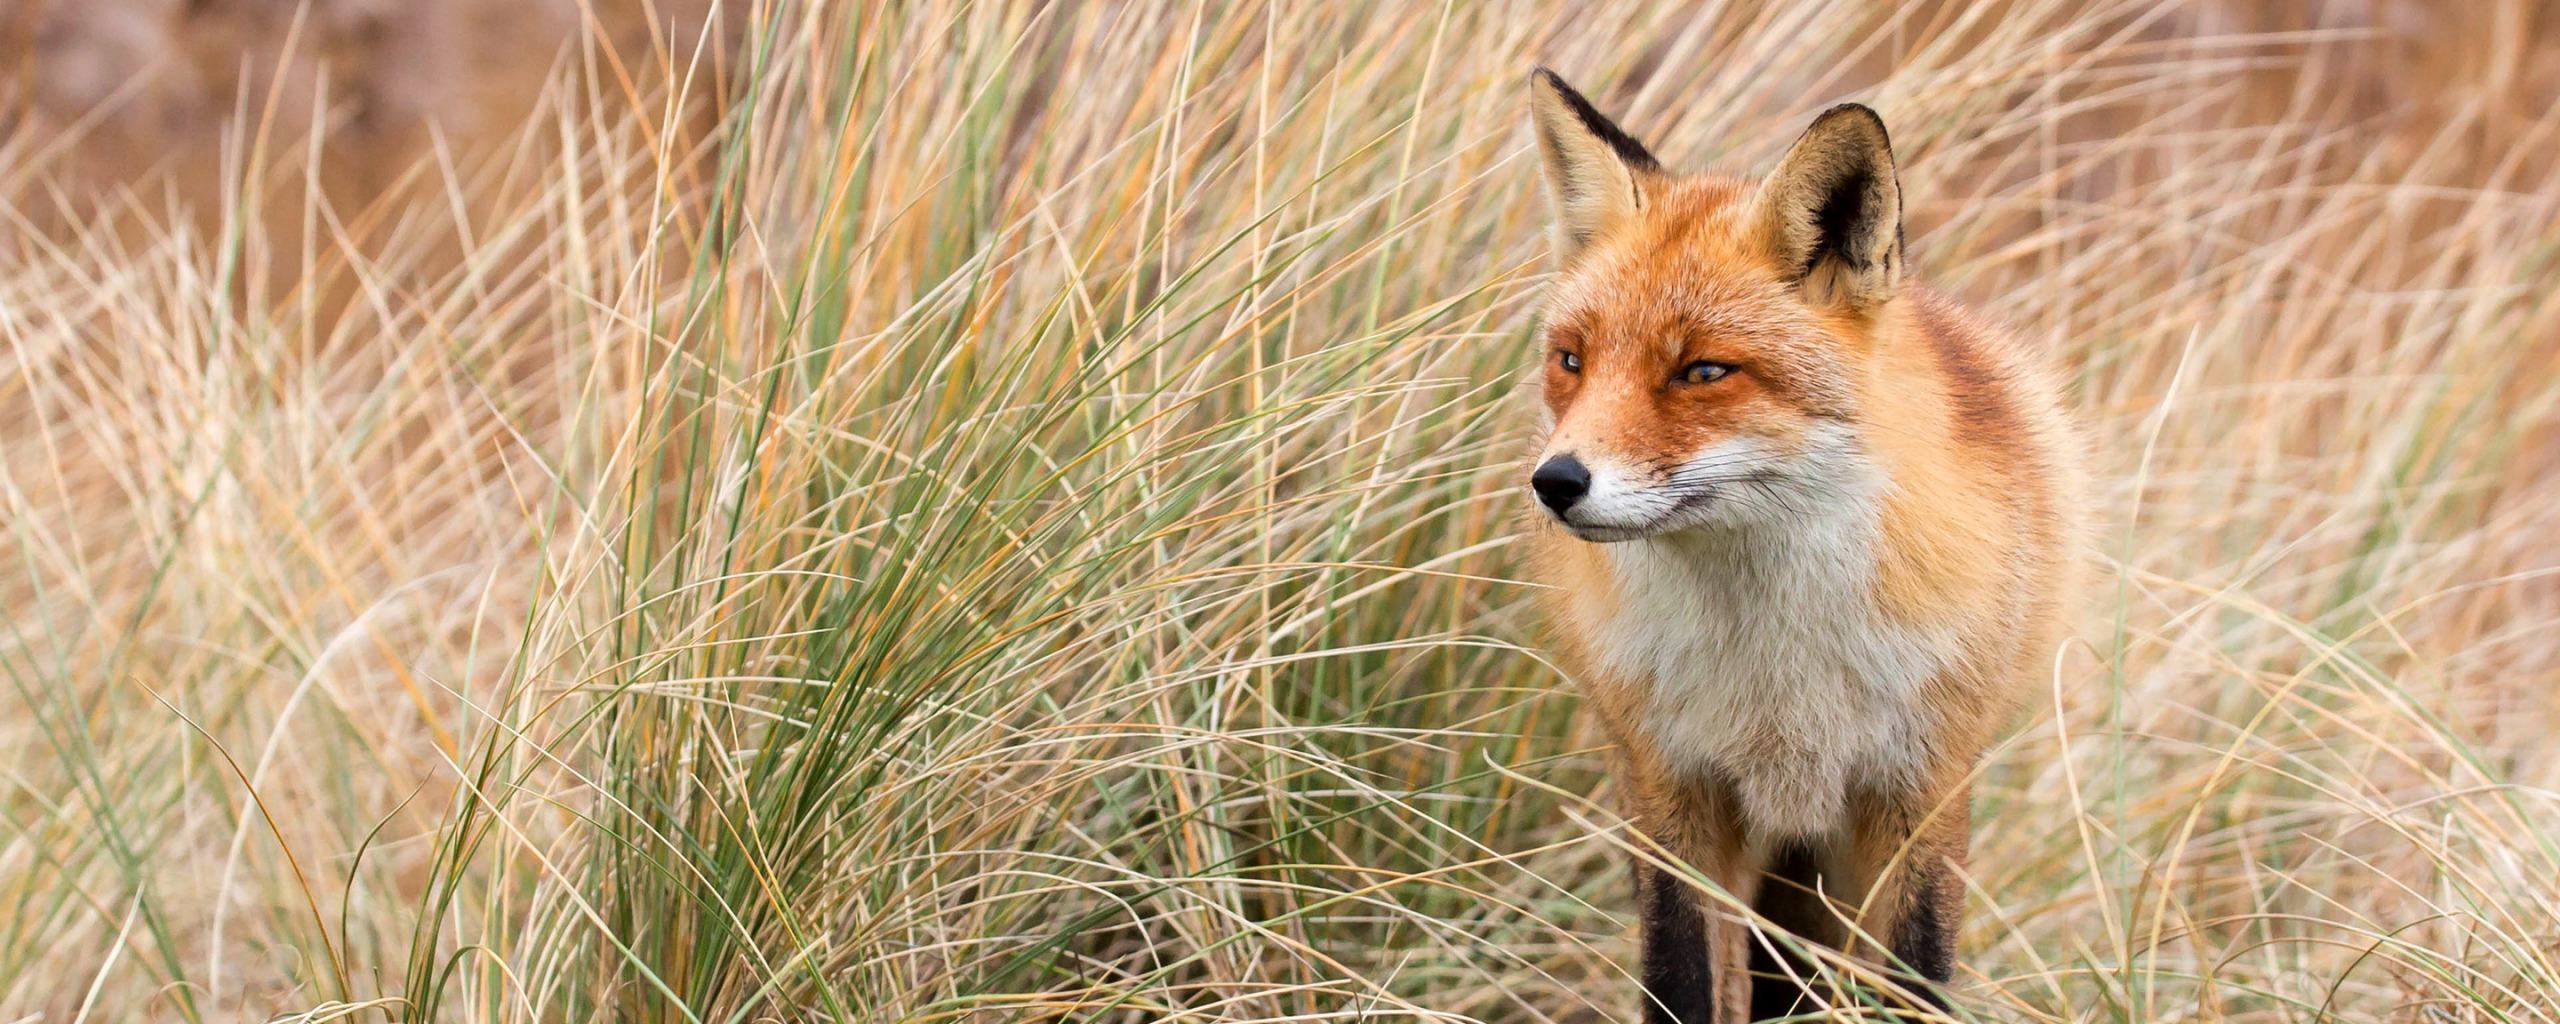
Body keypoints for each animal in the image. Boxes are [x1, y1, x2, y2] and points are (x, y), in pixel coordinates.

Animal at [1515, 65, 2078, 1024]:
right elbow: (1678, 980)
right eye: (1573, 361)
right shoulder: (1673, 793)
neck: (1779, 671)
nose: (1557, 482)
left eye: (1703, 371)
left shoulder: (1920, 795)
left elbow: (1914, 982)